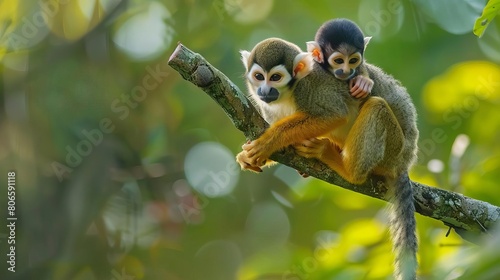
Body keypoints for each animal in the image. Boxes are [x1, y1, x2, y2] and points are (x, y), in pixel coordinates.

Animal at [236, 37, 420, 280]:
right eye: (259, 76)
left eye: (275, 77)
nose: (264, 90)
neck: (288, 94)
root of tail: (406, 161)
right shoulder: (267, 108)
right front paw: (254, 156)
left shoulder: (310, 88)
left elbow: (335, 114)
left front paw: (268, 142)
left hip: (394, 150)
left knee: (377, 106)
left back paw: (345, 167)